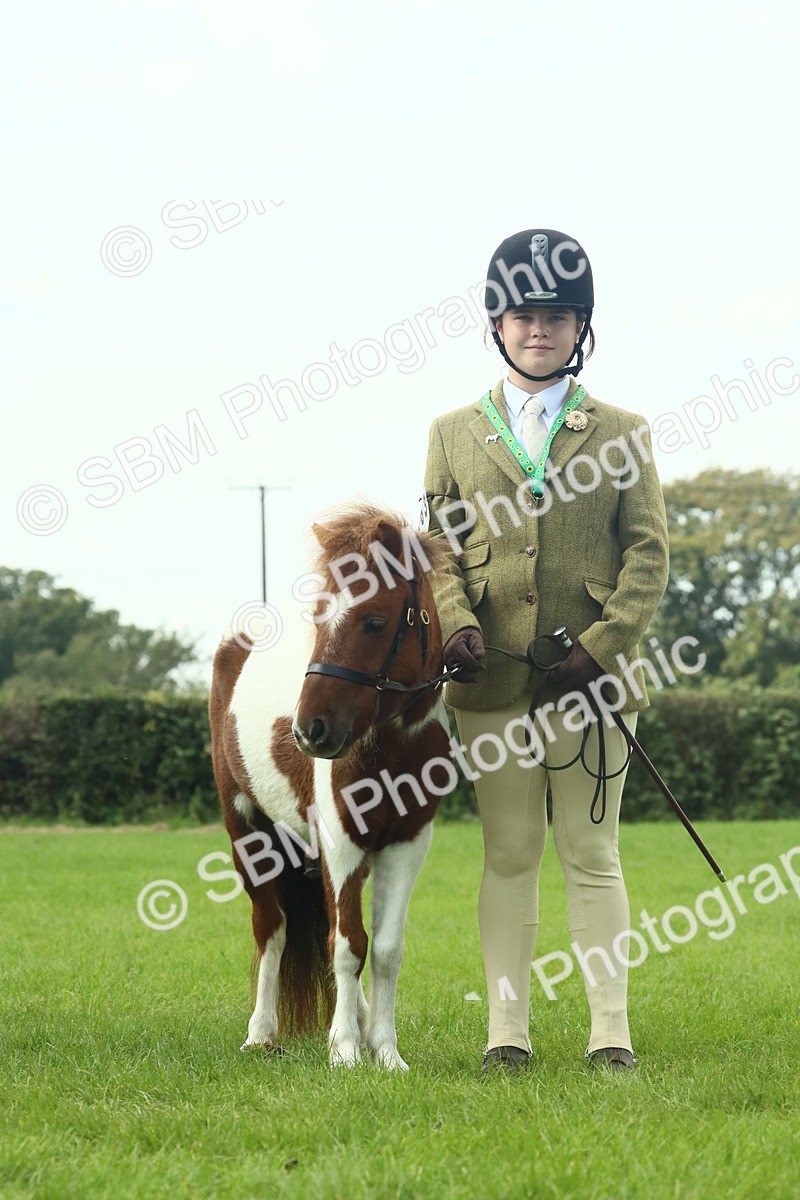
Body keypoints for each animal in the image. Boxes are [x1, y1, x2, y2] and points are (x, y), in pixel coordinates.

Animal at [208, 504, 453, 1069]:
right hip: (246, 829)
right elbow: (346, 946)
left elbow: (383, 949)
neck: (389, 742)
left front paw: (384, 1050)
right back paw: (261, 1033)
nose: (309, 731)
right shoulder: (341, 841)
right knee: (271, 927)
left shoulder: (407, 843)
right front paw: (344, 1050)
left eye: (375, 621)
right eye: (319, 617)